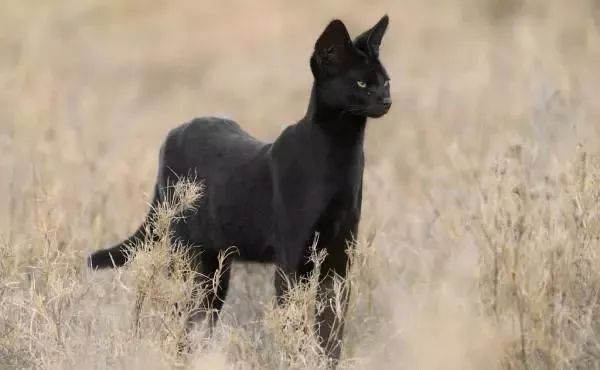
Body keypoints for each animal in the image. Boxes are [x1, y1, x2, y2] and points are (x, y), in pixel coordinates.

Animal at [88, 15, 390, 364]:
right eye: (362, 84)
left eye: (386, 81)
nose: (386, 99)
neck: (343, 150)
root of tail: (173, 134)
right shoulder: (292, 260)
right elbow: (295, 324)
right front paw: (294, 358)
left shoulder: (339, 261)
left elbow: (331, 327)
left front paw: (325, 360)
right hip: (186, 260)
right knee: (180, 316)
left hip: (216, 269)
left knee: (198, 320)